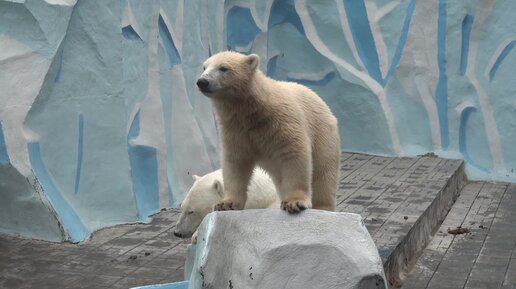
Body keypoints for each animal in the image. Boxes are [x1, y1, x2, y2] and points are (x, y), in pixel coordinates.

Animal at [196, 51, 340, 214]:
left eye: (223, 68)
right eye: (204, 67)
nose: (202, 81)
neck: (253, 111)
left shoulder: (284, 122)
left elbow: (295, 155)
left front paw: (295, 202)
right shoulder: (235, 131)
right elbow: (235, 163)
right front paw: (226, 203)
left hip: (323, 132)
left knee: (323, 172)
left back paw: (323, 207)